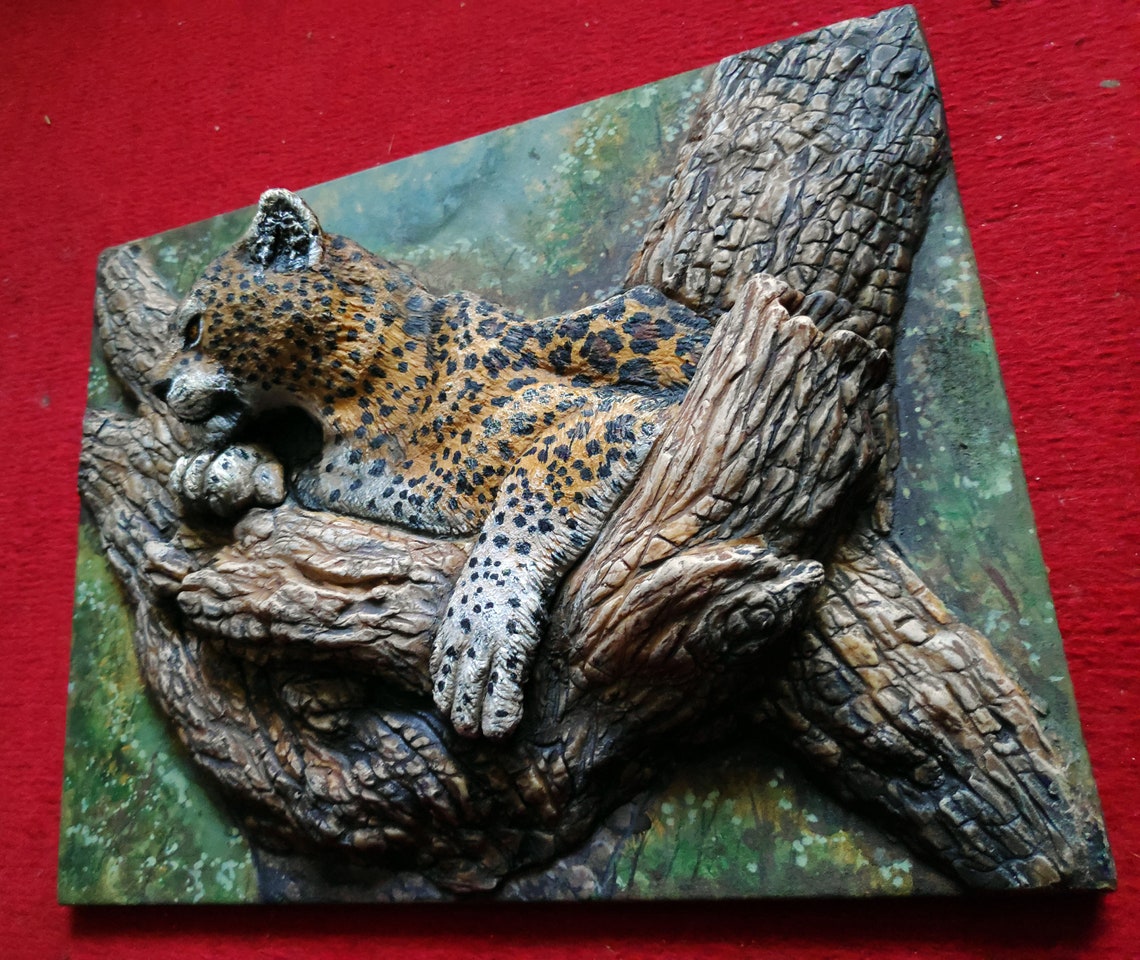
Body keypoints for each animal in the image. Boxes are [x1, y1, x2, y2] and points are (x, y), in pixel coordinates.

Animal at [153, 189, 712, 739]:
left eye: (193, 328)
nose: (157, 386)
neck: (345, 408)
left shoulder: (632, 404)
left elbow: (530, 484)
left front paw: (477, 636)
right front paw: (215, 465)